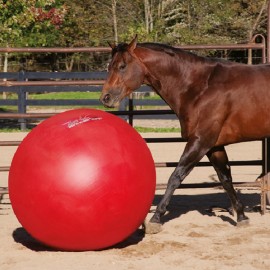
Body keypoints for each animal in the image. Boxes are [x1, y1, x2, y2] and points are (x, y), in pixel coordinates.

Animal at [99, 35, 270, 234]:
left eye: (122, 66)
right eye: (109, 66)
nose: (105, 98)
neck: (200, 87)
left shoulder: (200, 141)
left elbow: (176, 176)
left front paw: (155, 219)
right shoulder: (214, 146)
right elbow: (225, 178)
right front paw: (242, 217)